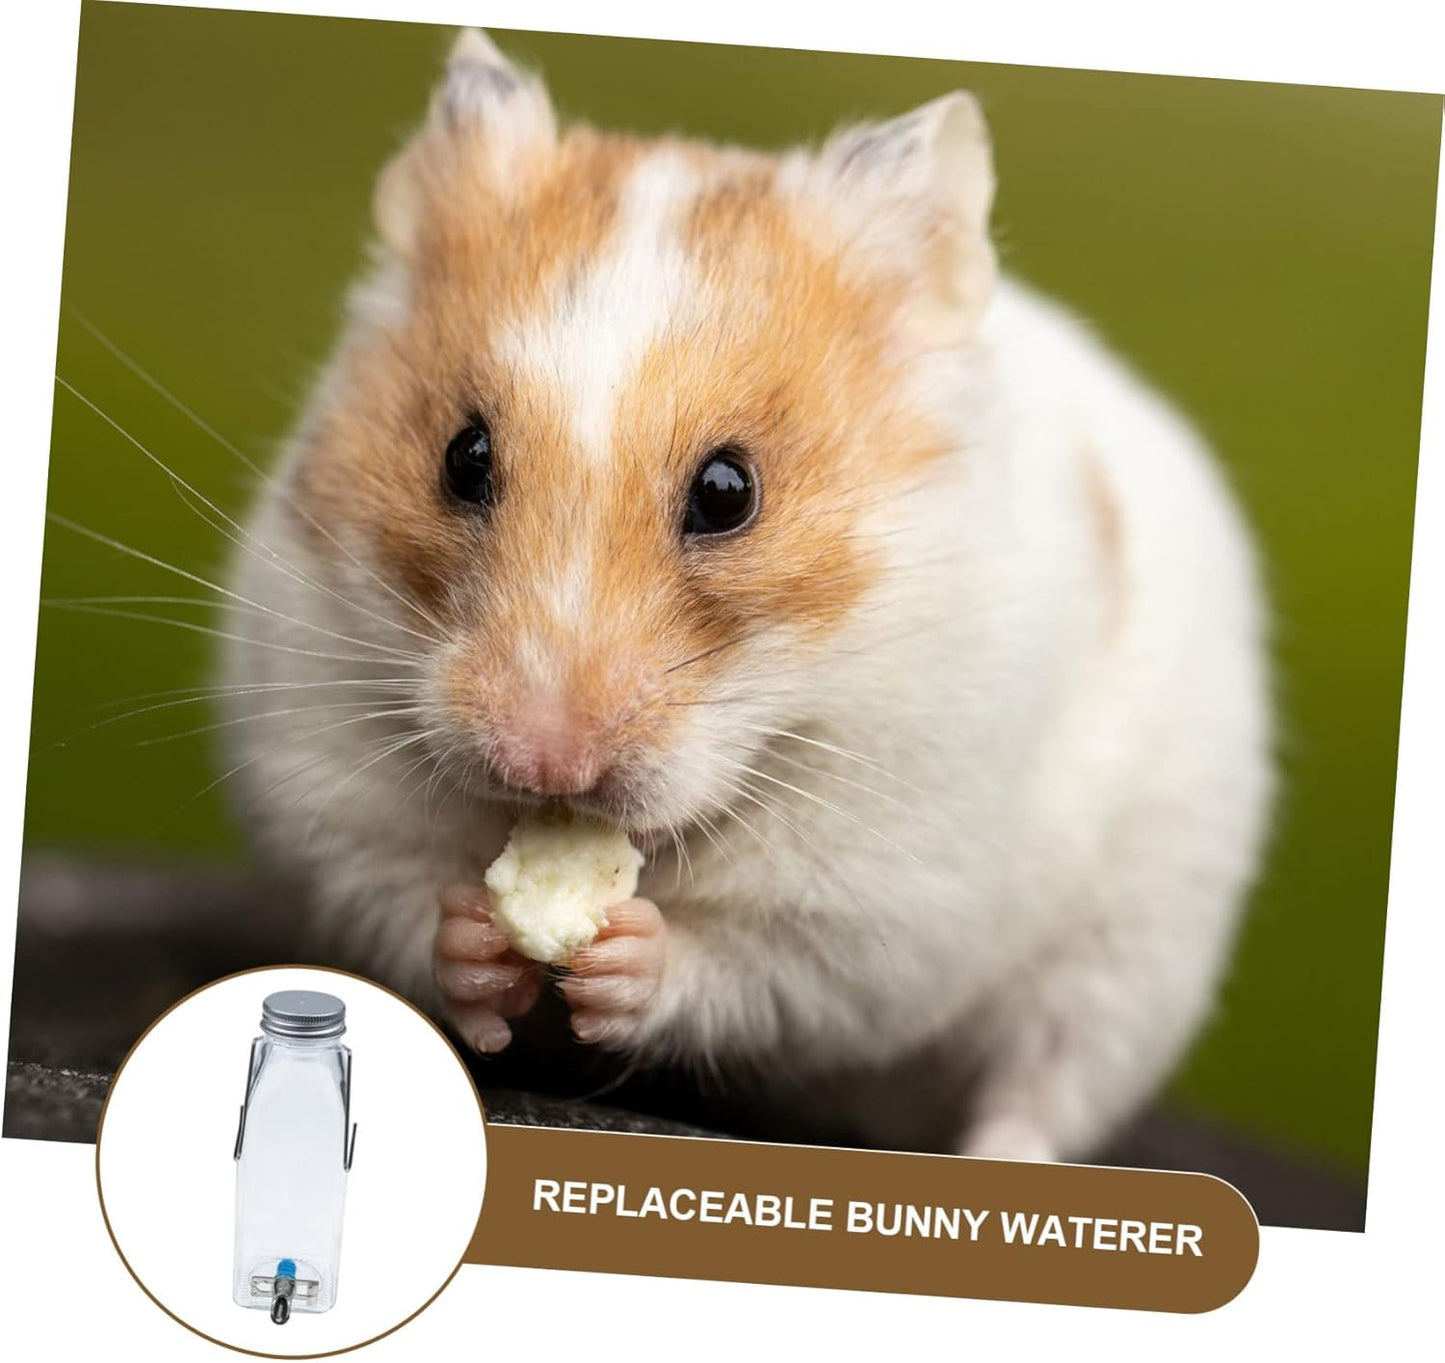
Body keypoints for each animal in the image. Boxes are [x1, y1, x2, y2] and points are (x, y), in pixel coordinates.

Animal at [218, 28, 1274, 1162]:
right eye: (463, 456)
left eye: (729, 491)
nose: (544, 763)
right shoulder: (325, 782)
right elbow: (403, 895)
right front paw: (481, 943)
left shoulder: (879, 896)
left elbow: (747, 965)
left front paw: (623, 955)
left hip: (1131, 958)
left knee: (1038, 1089)